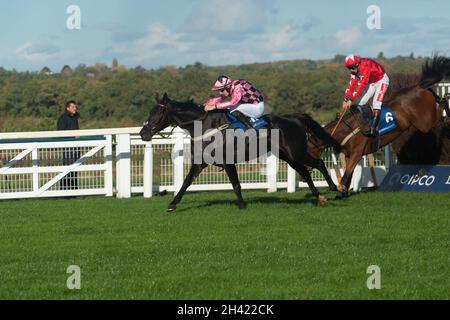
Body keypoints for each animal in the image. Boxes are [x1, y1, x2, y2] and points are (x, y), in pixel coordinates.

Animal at [139, 93, 340, 212]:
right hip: (287, 155)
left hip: (295, 152)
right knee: (305, 171)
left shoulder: (227, 161)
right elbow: (186, 182)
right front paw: (172, 204)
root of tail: (295, 118)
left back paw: (334, 188)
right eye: (150, 112)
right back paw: (320, 197)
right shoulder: (200, 163)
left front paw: (242, 205)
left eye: (157, 113)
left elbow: (236, 184)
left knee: (318, 163)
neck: (205, 125)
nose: (143, 133)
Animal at [306, 56, 450, 199]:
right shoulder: (348, 154)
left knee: (439, 113)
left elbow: (347, 174)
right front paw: (343, 192)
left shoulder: (357, 153)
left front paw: (340, 191)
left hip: (424, 123)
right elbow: (349, 174)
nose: (305, 169)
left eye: (307, 149)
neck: (349, 128)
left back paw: (446, 104)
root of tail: (419, 87)